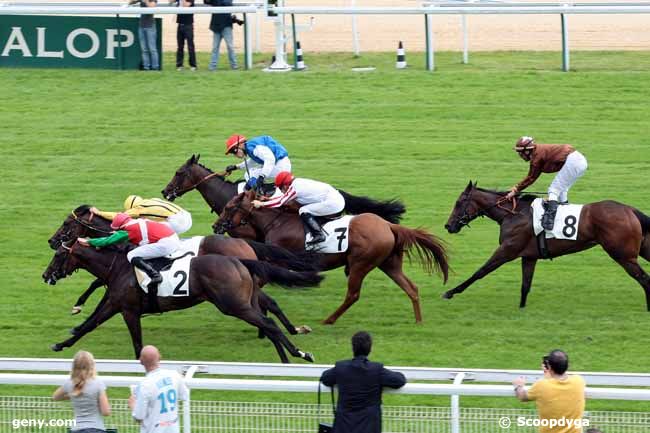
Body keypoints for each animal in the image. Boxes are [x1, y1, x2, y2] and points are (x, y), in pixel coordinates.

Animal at [42, 241, 322, 362]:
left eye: (57, 256)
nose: (46, 275)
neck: (117, 267)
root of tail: (240, 260)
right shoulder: (114, 304)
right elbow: (89, 325)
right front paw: (61, 344)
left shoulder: (128, 310)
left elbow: (137, 343)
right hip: (246, 303)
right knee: (268, 323)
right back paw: (287, 360)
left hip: (234, 305)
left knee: (269, 324)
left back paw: (300, 353)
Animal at [46, 204, 316, 336]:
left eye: (67, 224)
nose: (51, 241)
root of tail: (245, 244)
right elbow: (99, 289)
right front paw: (79, 316)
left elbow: (97, 284)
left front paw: (77, 307)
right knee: (267, 302)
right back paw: (286, 330)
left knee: (266, 303)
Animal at [211, 191, 446, 322]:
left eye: (229, 207)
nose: (216, 226)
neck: (278, 222)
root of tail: (388, 225)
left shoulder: (278, 259)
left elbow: (260, 279)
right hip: (389, 264)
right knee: (411, 288)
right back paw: (419, 321)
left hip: (361, 263)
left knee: (353, 295)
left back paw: (328, 320)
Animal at [442, 181, 648, 308]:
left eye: (459, 202)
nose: (448, 226)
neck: (513, 214)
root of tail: (630, 209)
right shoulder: (529, 256)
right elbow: (525, 285)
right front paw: (521, 308)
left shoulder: (507, 250)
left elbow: (480, 271)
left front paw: (451, 292)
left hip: (623, 255)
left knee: (644, 278)